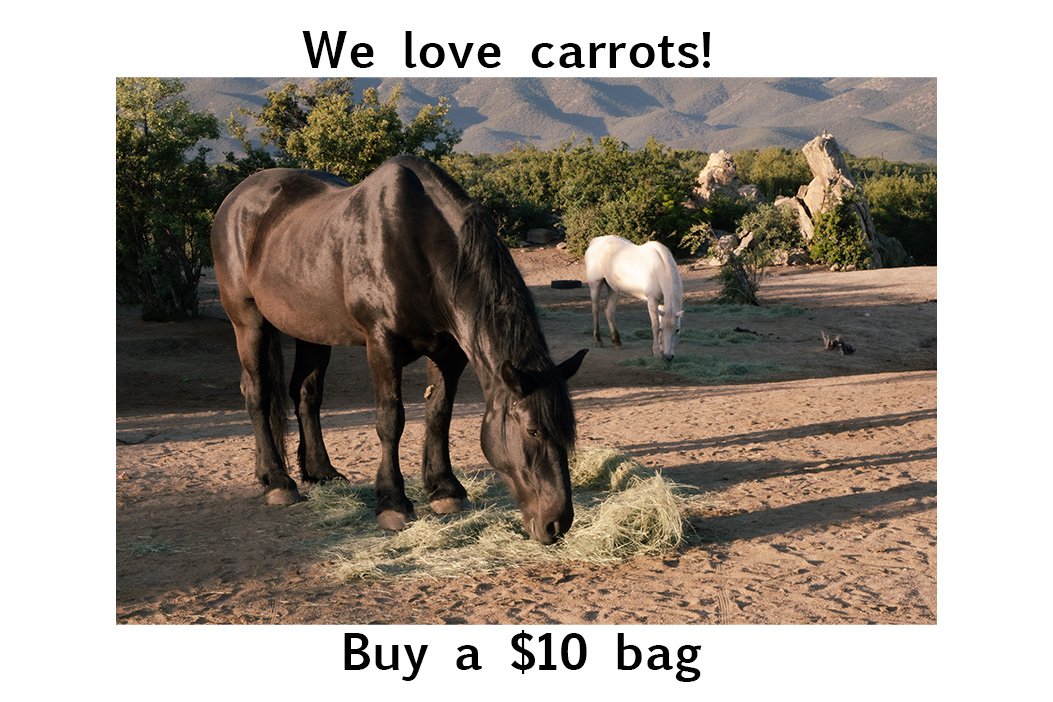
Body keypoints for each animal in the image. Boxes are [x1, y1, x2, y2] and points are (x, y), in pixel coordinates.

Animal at [210, 155, 587, 544]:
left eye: (568, 430)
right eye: (533, 430)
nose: (557, 523)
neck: (420, 245)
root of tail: (235, 200)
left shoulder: (449, 352)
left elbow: (439, 415)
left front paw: (445, 490)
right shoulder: (382, 344)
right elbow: (391, 420)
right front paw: (392, 503)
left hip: (311, 330)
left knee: (305, 395)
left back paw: (320, 472)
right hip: (249, 322)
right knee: (257, 393)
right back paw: (276, 481)